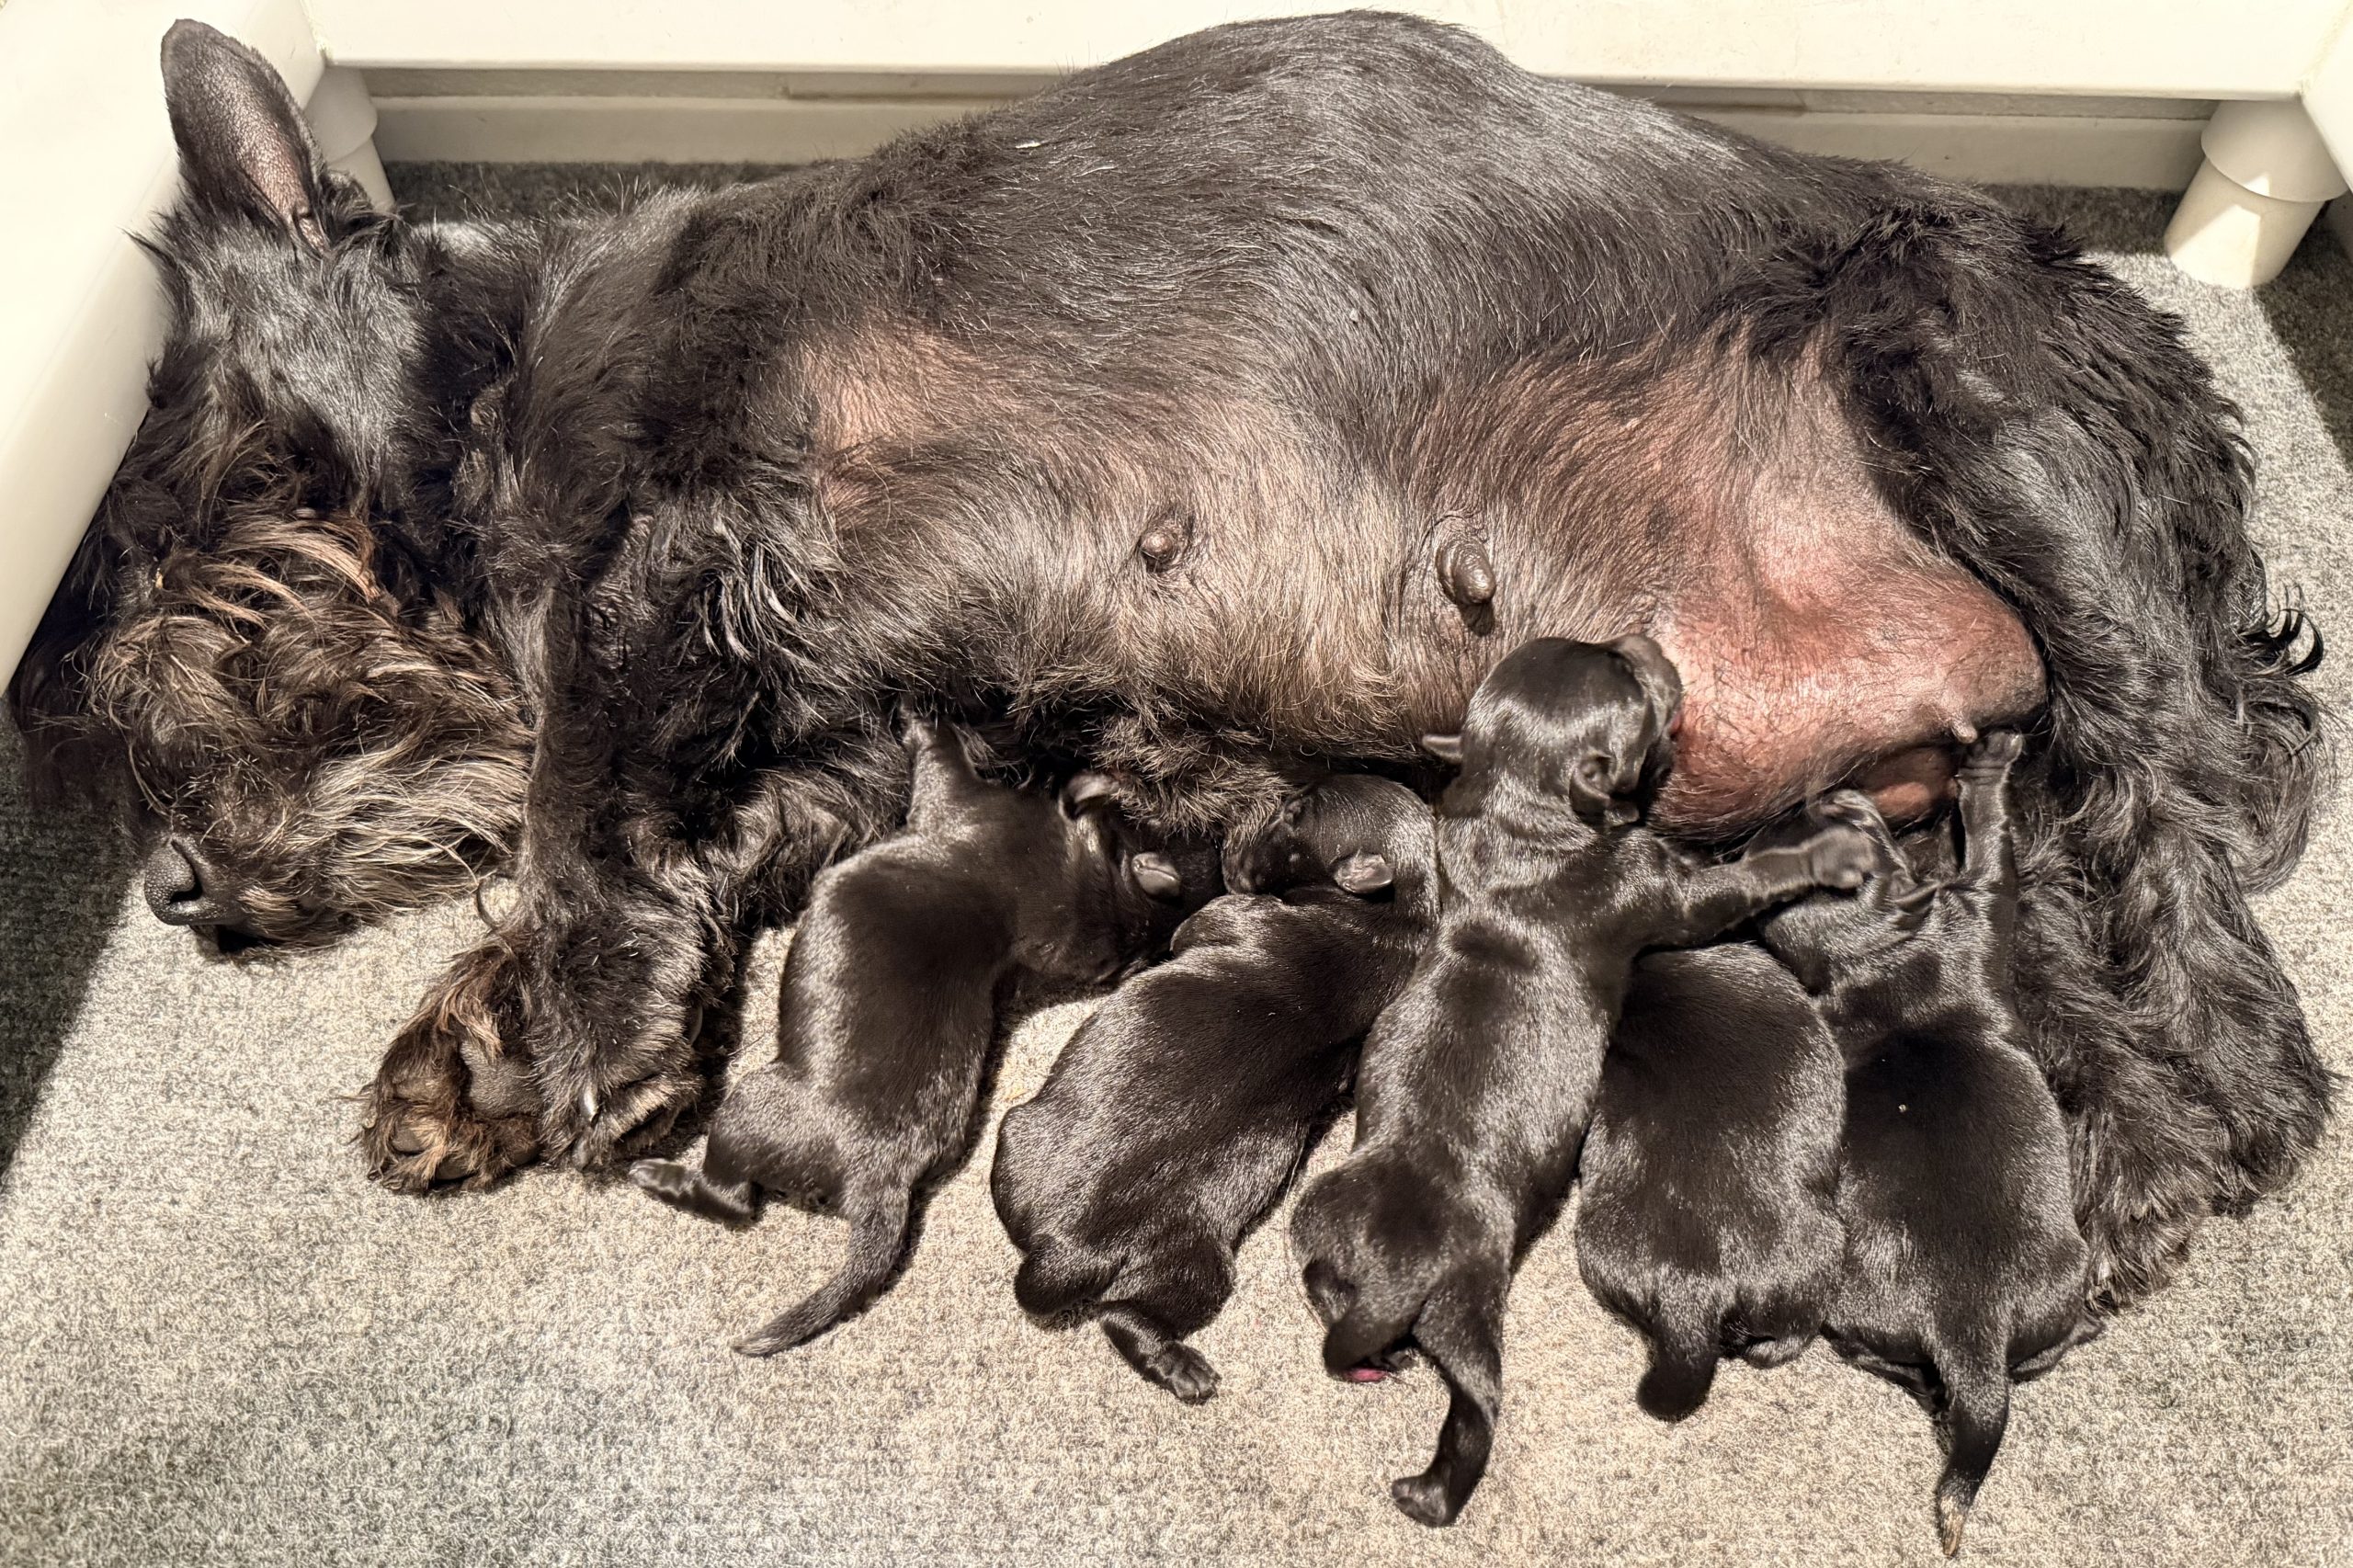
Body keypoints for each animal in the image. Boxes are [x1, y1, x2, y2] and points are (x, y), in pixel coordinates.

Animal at [630, 716, 1209, 1353]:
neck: (1067, 869)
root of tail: (881, 1179)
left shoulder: (959, 794)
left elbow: (940, 752)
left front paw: (920, 717)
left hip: (746, 1106)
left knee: (731, 1199)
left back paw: (658, 1176)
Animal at [991, 774, 1435, 1402]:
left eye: (1293, 815)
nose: (1229, 839)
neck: (1393, 913)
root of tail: (1066, 1250)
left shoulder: (1232, 913)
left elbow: (1193, 924)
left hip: (1048, 1154)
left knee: (1120, 1316)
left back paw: (1174, 1363)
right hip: (1180, 1256)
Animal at [1758, 734, 2098, 1556]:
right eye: (1857, 818)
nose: (1822, 788)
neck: (1872, 951)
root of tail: (1968, 1331)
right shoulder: (1980, 897)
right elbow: (1990, 835)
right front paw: (1988, 769)